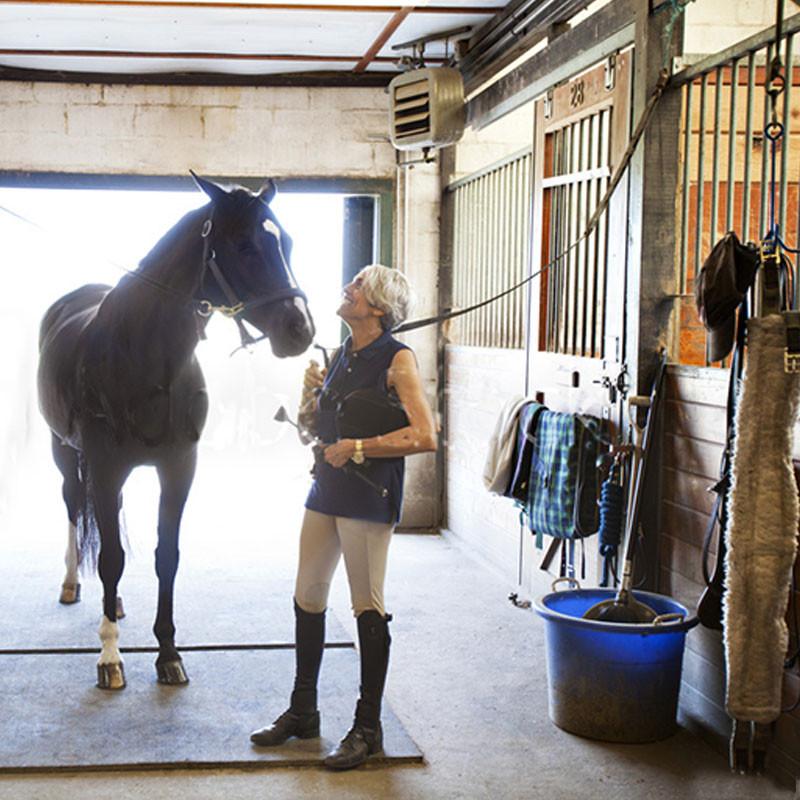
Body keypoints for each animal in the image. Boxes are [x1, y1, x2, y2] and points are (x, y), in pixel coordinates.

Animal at [37, 173, 315, 690]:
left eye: (285, 241)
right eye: (243, 244)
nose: (299, 329)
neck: (144, 359)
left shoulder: (178, 467)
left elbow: (166, 556)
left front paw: (167, 654)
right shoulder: (105, 467)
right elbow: (111, 558)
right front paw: (110, 658)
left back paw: (114, 601)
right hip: (65, 453)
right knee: (72, 507)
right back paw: (71, 583)